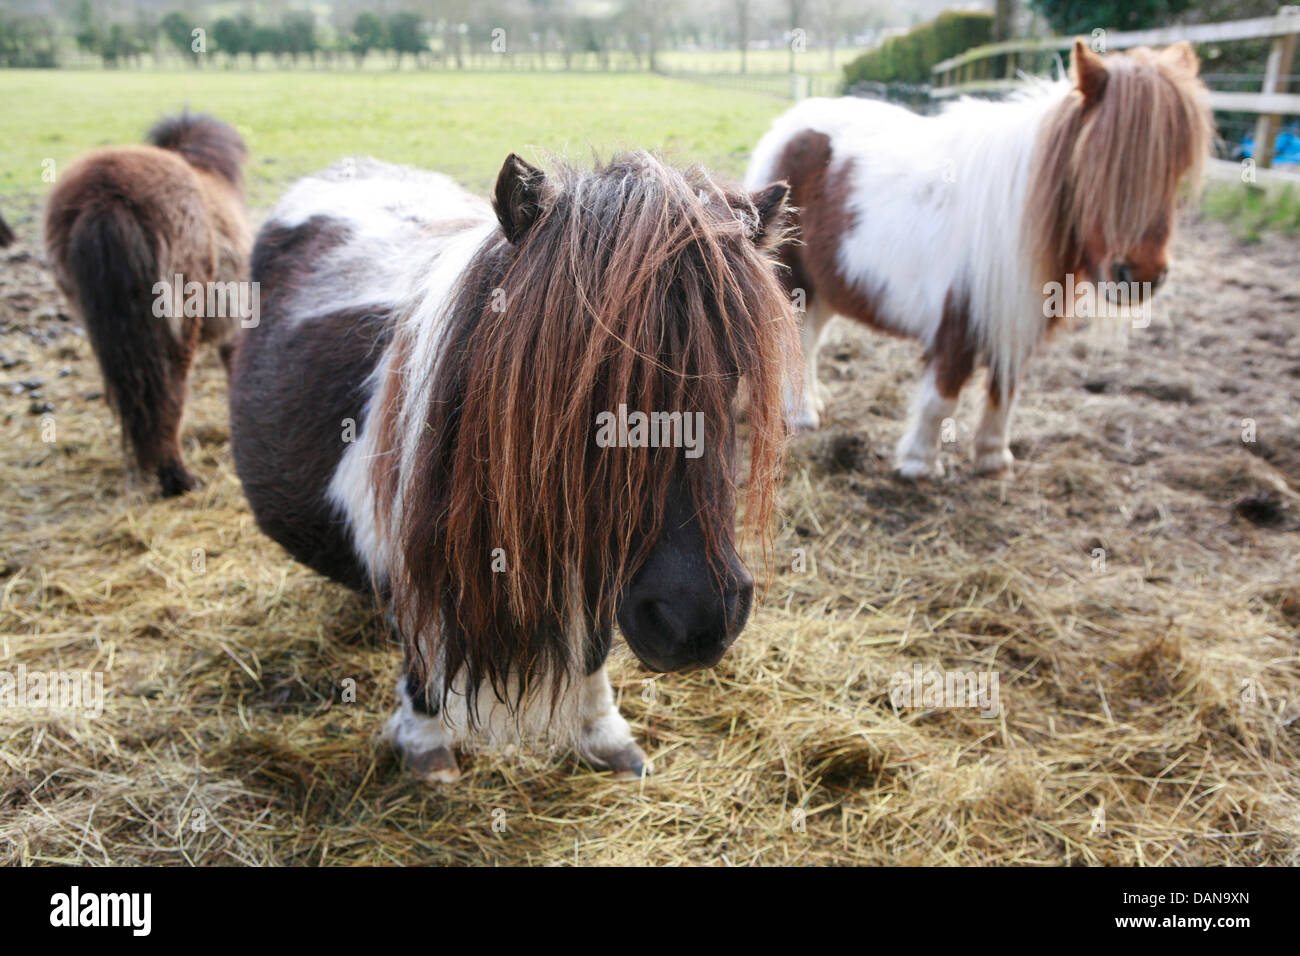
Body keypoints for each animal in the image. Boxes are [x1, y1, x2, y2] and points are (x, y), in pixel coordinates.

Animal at [227, 155, 790, 785]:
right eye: (578, 378)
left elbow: (592, 643)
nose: (697, 619)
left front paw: (602, 732)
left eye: (735, 372)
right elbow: (421, 649)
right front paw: (426, 742)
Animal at [748, 41, 1211, 478]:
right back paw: (803, 414)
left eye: (1176, 166)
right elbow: (941, 399)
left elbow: (1005, 392)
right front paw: (919, 464)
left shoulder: (1018, 321)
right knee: (798, 339)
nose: (1141, 275)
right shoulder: (957, 321)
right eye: (1098, 163)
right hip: (796, 279)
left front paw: (992, 458)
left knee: (810, 340)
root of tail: (789, 126)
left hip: (825, 284)